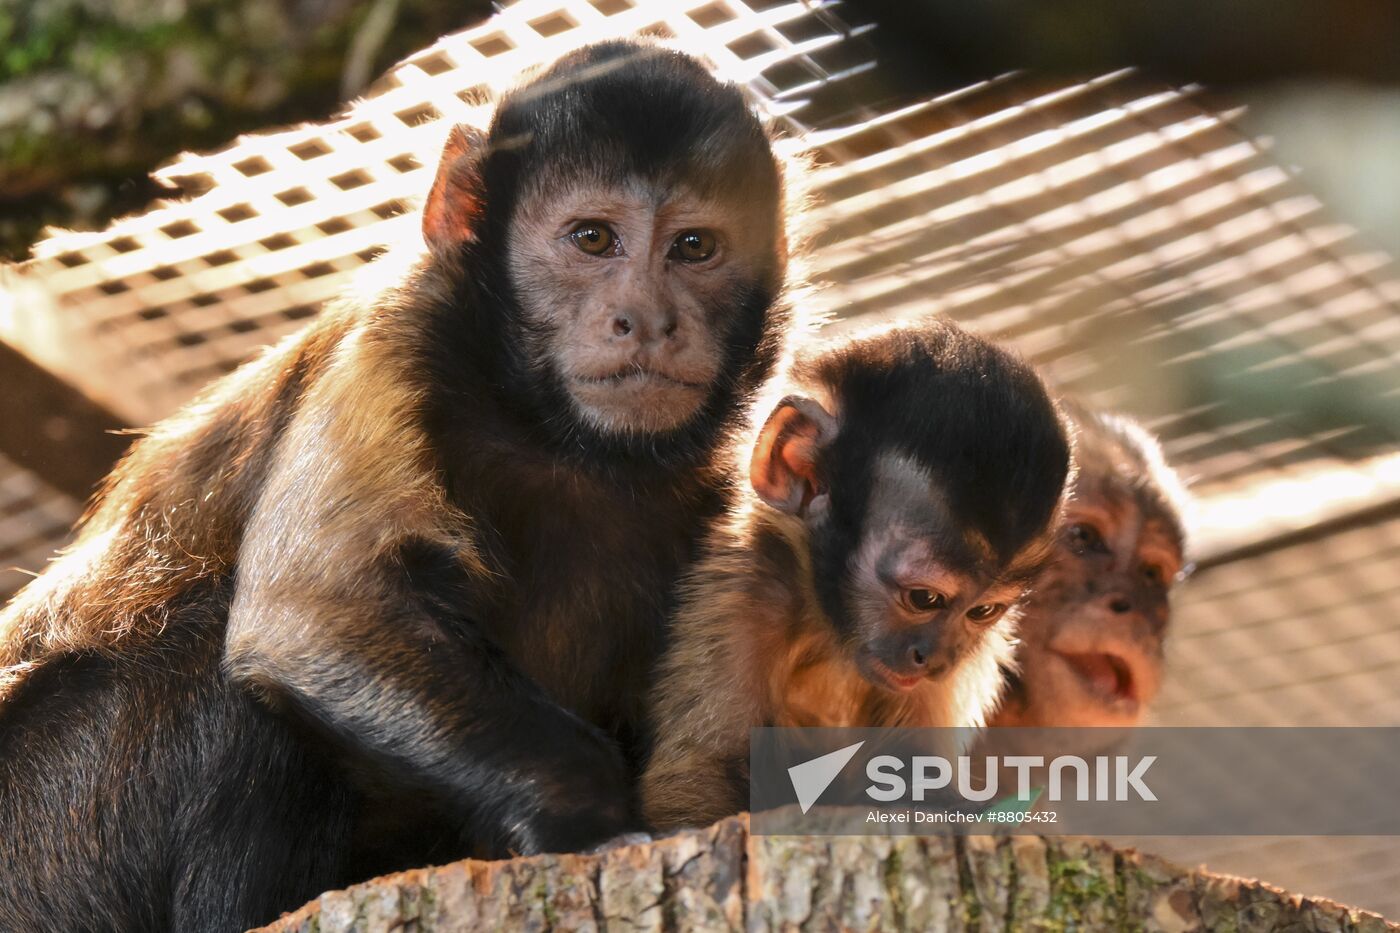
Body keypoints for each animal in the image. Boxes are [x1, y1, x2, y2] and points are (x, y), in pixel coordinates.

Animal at [0, 39, 800, 924]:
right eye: (593, 238)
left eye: (694, 247)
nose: (648, 320)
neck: (554, 436)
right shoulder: (398, 338)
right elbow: (310, 616)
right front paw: (587, 814)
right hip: (45, 830)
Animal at [641, 316, 1069, 823]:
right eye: (924, 598)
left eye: (983, 612)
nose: (936, 658)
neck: (831, 633)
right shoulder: (751, 590)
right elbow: (702, 770)